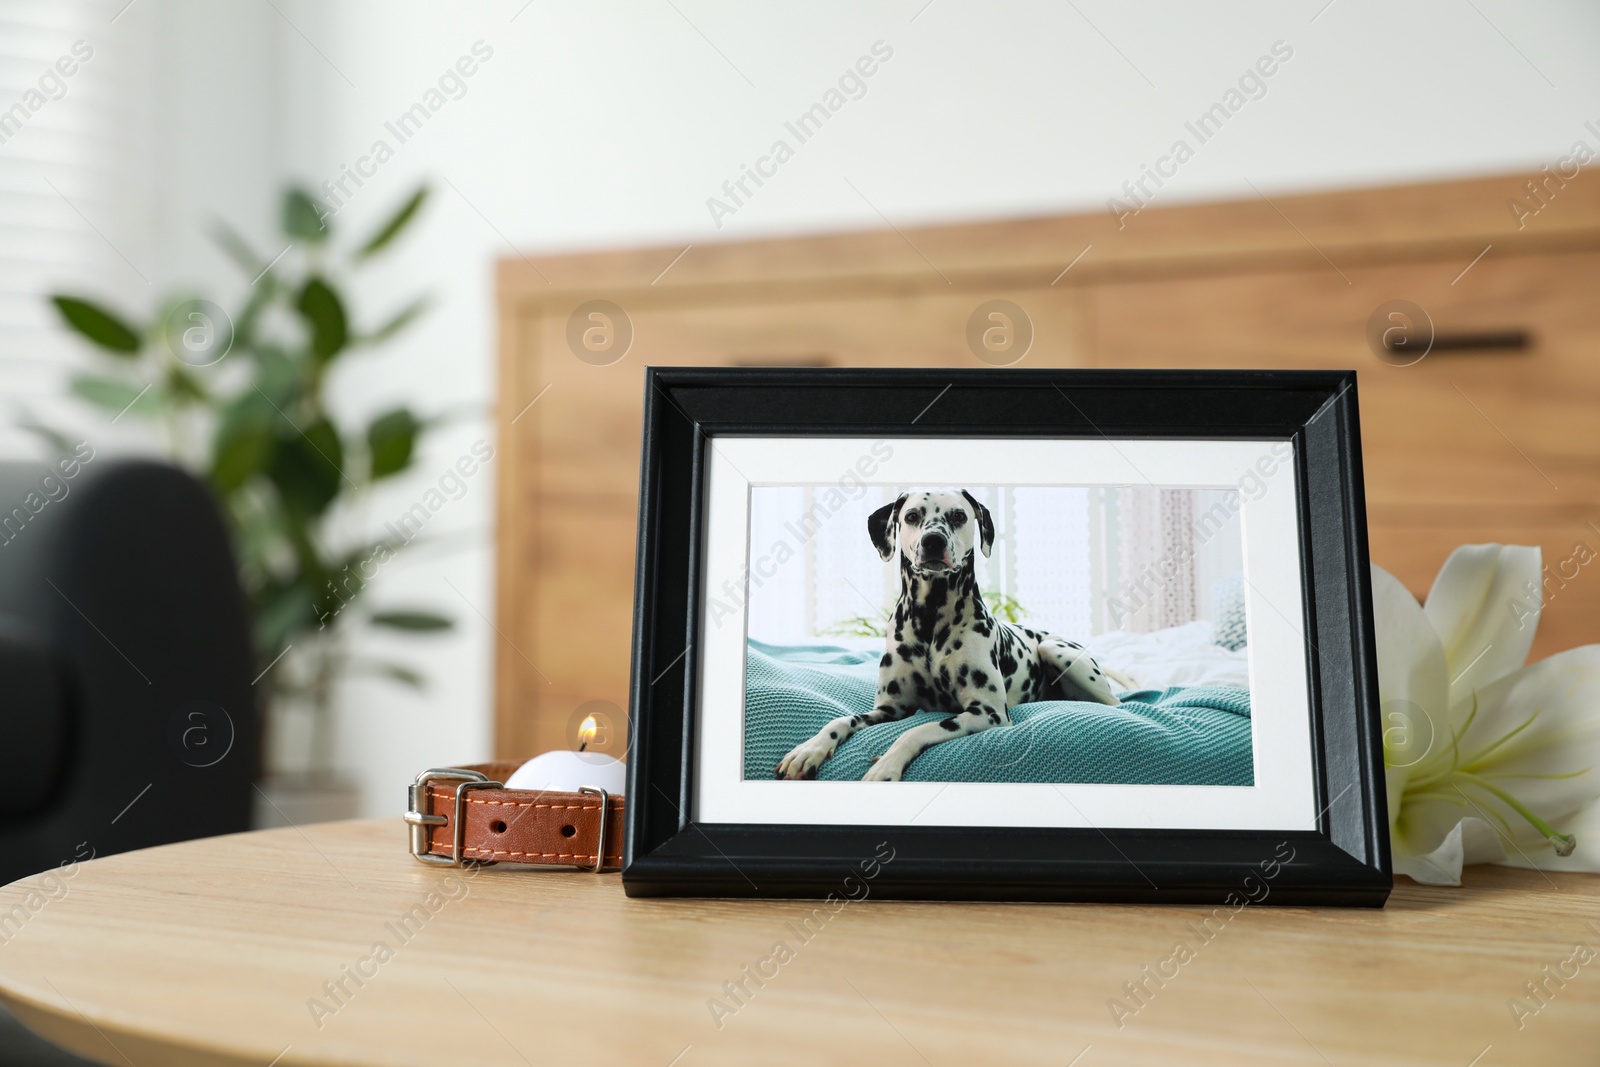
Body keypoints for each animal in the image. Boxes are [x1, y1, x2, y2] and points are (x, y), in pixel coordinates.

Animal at [774, 489, 1126, 780]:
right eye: (912, 516)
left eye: (958, 515)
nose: (933, 541)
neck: (930, 616)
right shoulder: (890, 709)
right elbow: (841, 720)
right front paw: (808, 750)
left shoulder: (988, 712)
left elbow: (918, 730)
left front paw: (886, 765)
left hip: (1058, 651)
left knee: (1116, 704)